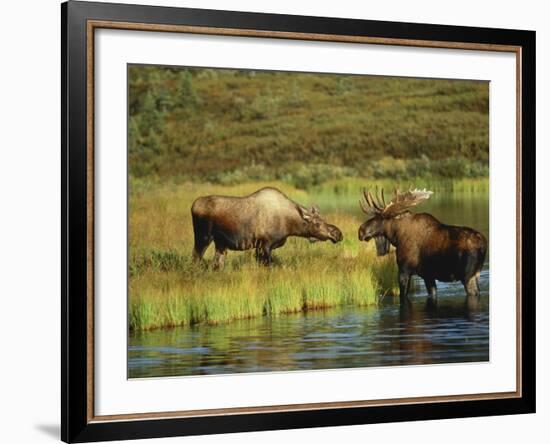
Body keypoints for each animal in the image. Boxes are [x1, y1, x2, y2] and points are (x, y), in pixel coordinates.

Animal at [192, 186, 342, 268]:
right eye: (317, 223)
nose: (338, 233)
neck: (289, 225)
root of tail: (193, 206)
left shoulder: (260, 247)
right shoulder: (265, 245)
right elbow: (269, 266)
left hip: (221, 244)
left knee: (216, 264)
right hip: (203, 238)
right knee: (195, 258)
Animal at [360, 187, 490, 308]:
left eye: (380, 217)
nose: (360, 231)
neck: (396, 237)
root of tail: (484, 244)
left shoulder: (404, 270)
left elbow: (403, 296)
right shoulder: (428, 275)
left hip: (468, 276)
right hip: (476, 273)